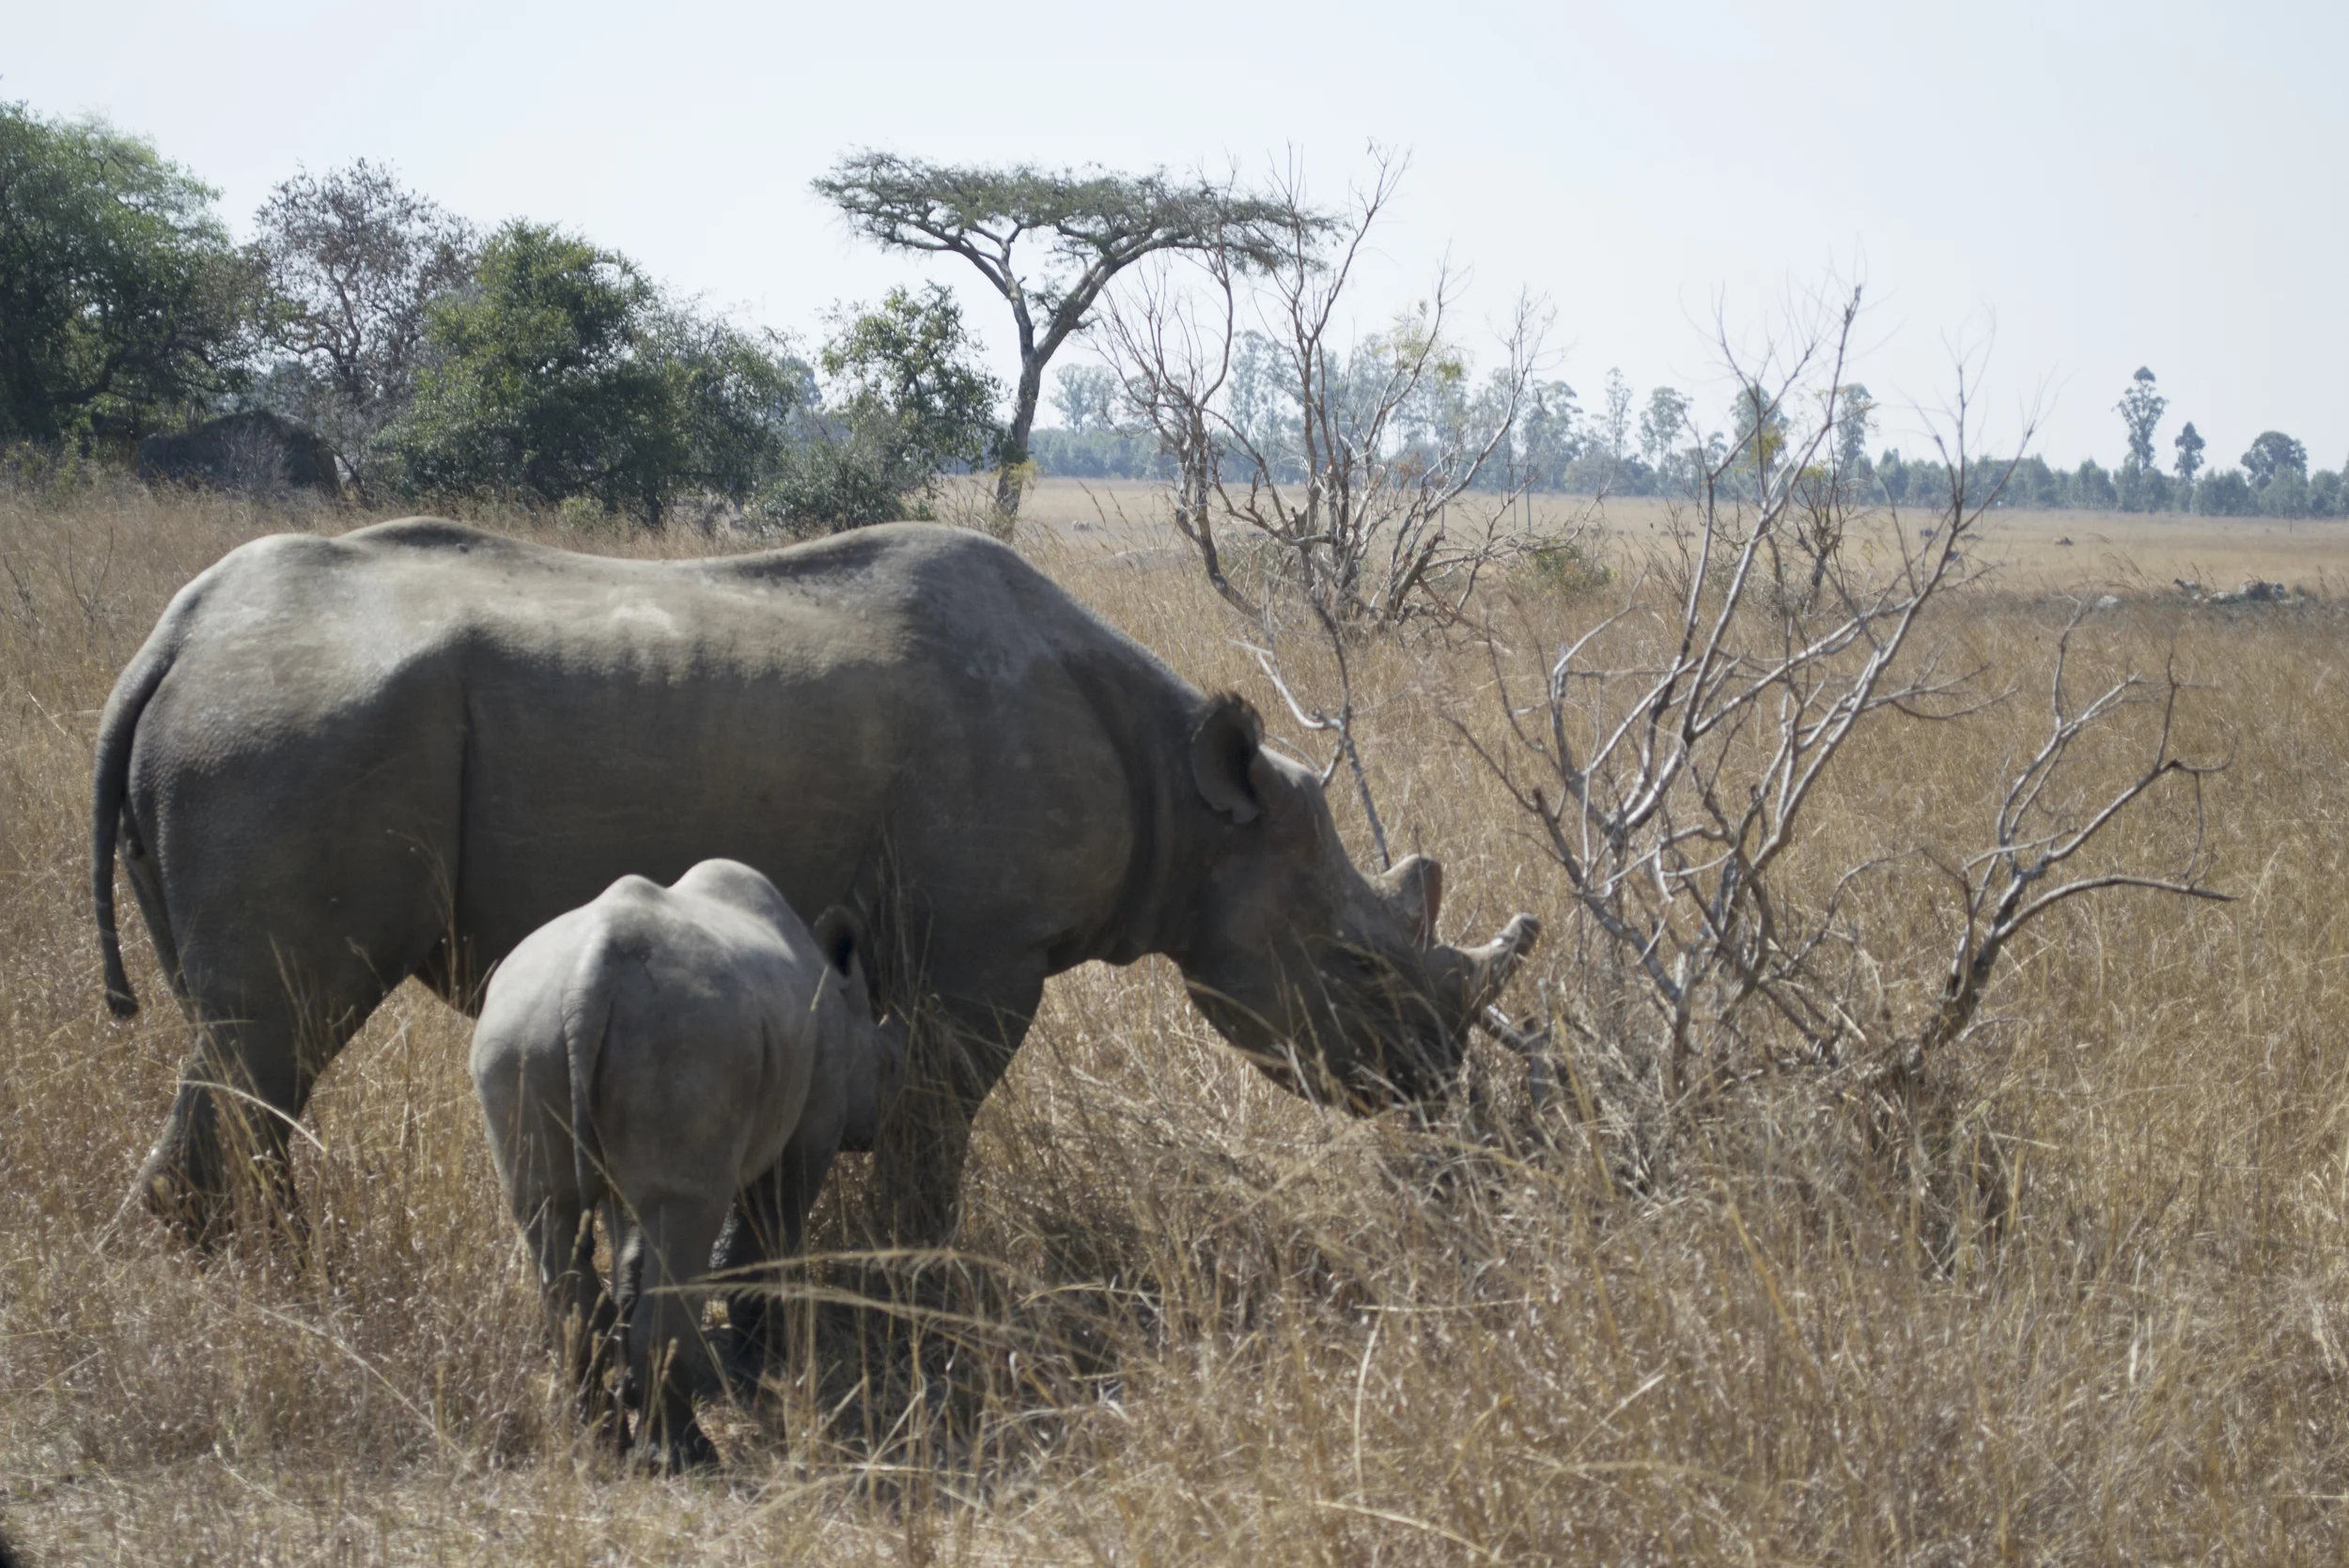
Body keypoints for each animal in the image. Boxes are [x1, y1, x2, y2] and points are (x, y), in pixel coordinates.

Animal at [92, 519, 1538, 1261]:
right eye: (1358, 968)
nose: (1437, 1091)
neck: (1195, 811)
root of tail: (169, 641)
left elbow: (899, 1100)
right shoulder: (981, 951)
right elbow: (937, 1117)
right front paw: (919, 1266)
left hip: (250, 729)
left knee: (236, 1042)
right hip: (286, 736)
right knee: (274, 1037)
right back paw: (276, 1280)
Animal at [471, 860, 906, 1470]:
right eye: (888, 1068)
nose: (879, 1131)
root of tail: (588, 978)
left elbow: (629, 1242)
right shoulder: (811, 1126)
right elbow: (773, 1229)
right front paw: (767, 1368)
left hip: (518, 1033)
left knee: (549, 1209)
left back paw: (597, 1445)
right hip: (687, 1038)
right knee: (687, 1215)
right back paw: (683, 1459)